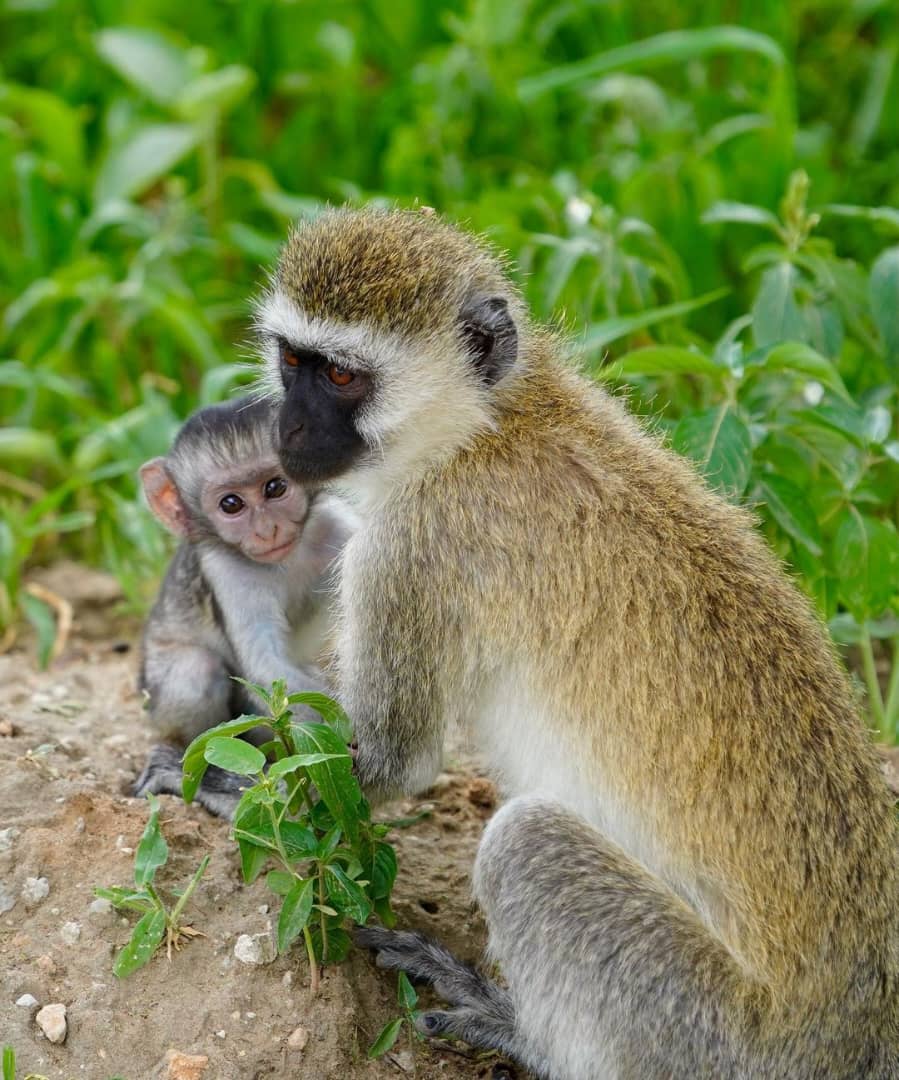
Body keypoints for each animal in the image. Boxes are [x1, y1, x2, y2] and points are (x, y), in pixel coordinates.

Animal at [132, 395, 356, 817]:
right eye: (231, 504)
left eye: (275, 487)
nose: (267, 530)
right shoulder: (226, 571)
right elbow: (265, 666)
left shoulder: (338, 527)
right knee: (196, 669)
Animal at [251, 207, 899, 1079]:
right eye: (294, 363)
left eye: (344, 378)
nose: (284, 428)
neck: (485, 428)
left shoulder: (409, 551)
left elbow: (387, 764)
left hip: (706, 1032)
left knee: (528, 843)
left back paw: (511, 1025)